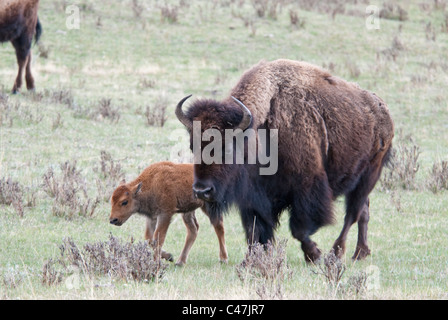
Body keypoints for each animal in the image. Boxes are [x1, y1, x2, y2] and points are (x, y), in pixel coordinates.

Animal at [177, 58, 394, 264]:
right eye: (192, 146)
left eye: (227, 148)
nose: (201, 191)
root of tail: (382, 109)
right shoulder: (253, 199)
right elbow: (255, 231)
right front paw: (250, 261)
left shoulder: (306, 188)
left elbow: (299, 229)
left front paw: (314, 255)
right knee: (363, 211)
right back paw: (360, 253)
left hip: (369, 174)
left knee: (352, 214)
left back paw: (336, 252)